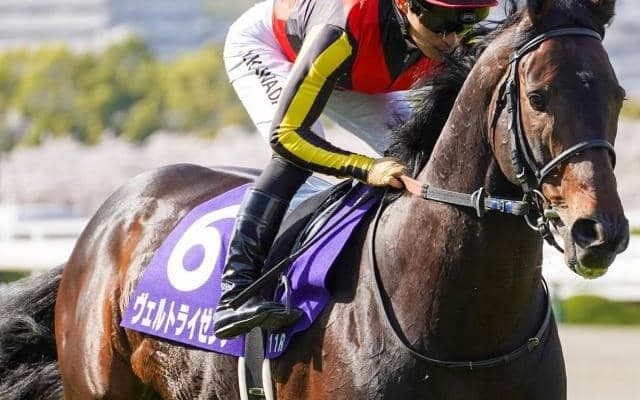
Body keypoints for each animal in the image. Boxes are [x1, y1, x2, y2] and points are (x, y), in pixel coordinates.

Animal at [0, 0, 629, 398]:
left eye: (619, 94)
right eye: (539, 96)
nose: (600, 232)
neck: (466, 329)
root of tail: (112, 212)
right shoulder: (333, 39)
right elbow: (290, 136)